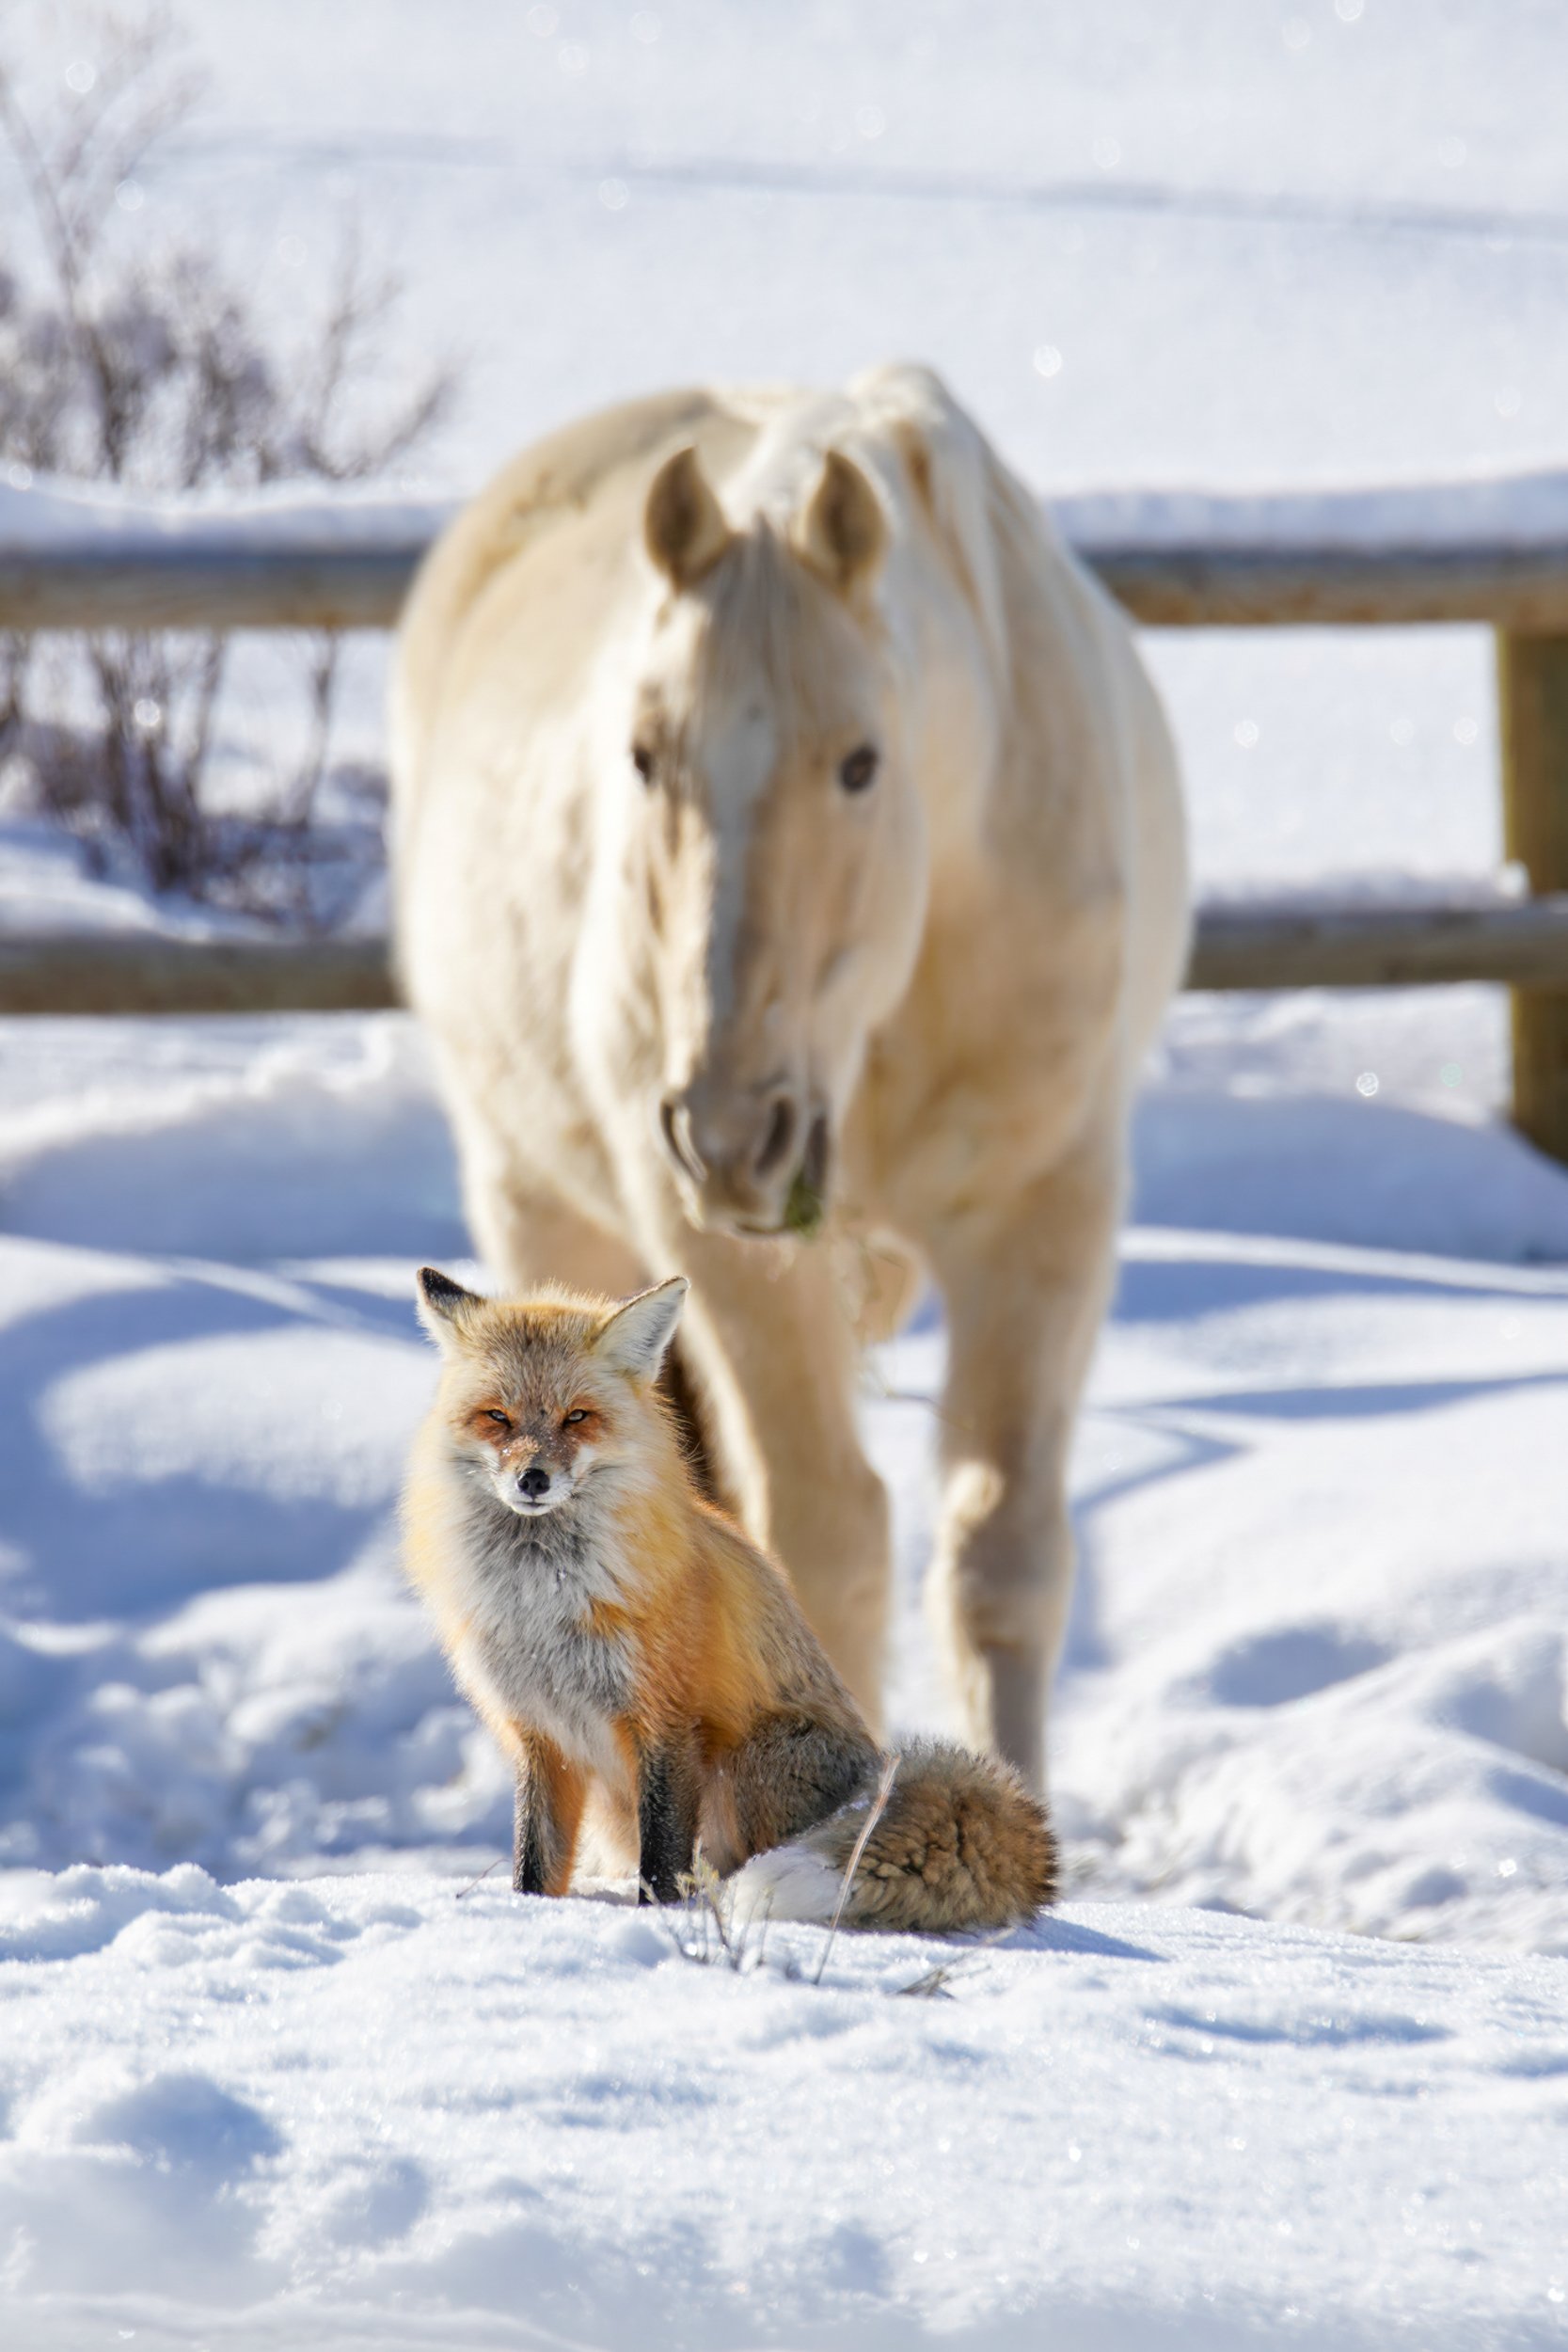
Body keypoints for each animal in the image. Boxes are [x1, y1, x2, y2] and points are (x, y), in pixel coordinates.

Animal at [390, 363, 1188, 1793]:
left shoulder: (1042, 1218)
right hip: (540, 1201)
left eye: (861, 762)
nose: (726, 1132)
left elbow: (1001, 1560)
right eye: (643, 756)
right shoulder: (731, 1260)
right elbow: (822, 1545)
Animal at [402, 1267, 1056, 1933]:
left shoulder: (669, 1724)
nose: (533, 1479)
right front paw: (529, 1917)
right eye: (497, 1417)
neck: (543, 1599)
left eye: (577, 1417)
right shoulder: (541, 1734)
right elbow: (534, 1866)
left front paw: (657, 1925)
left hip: (746, 1767)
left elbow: (662, 1867)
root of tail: (875, 1772)